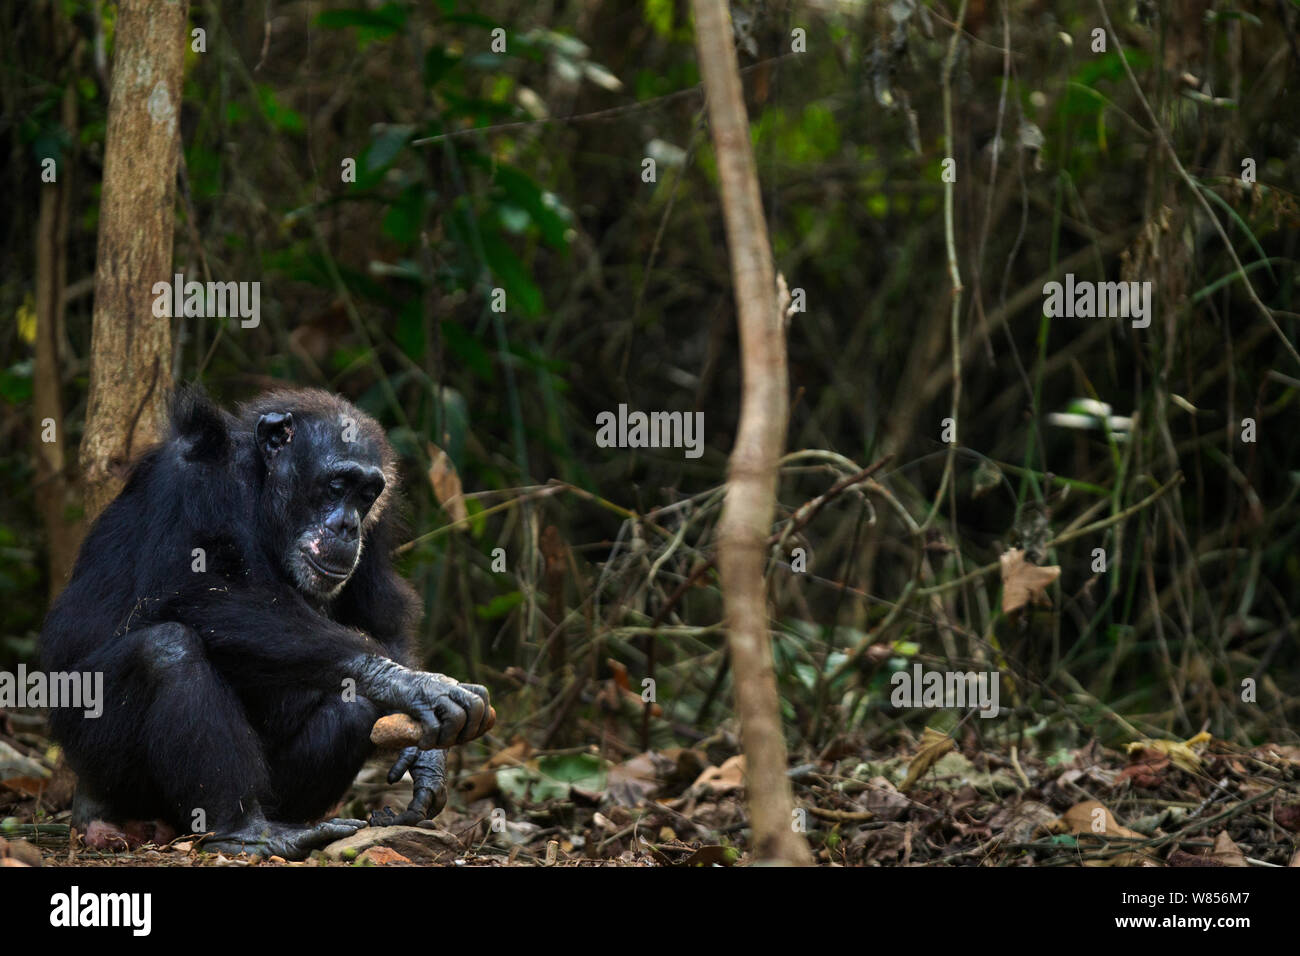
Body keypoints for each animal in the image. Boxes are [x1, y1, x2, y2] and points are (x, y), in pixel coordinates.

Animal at [40, 387, 488, 858]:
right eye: (337, 485)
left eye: (366, 494)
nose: (348, 526)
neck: (260, 488)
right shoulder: (187, 478)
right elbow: (187, 589)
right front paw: (410, 684)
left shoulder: (377, 529)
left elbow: (381, 615)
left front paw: (424, 752)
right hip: (95, 752)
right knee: (166, 651)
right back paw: (250, 831)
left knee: (353, 707)